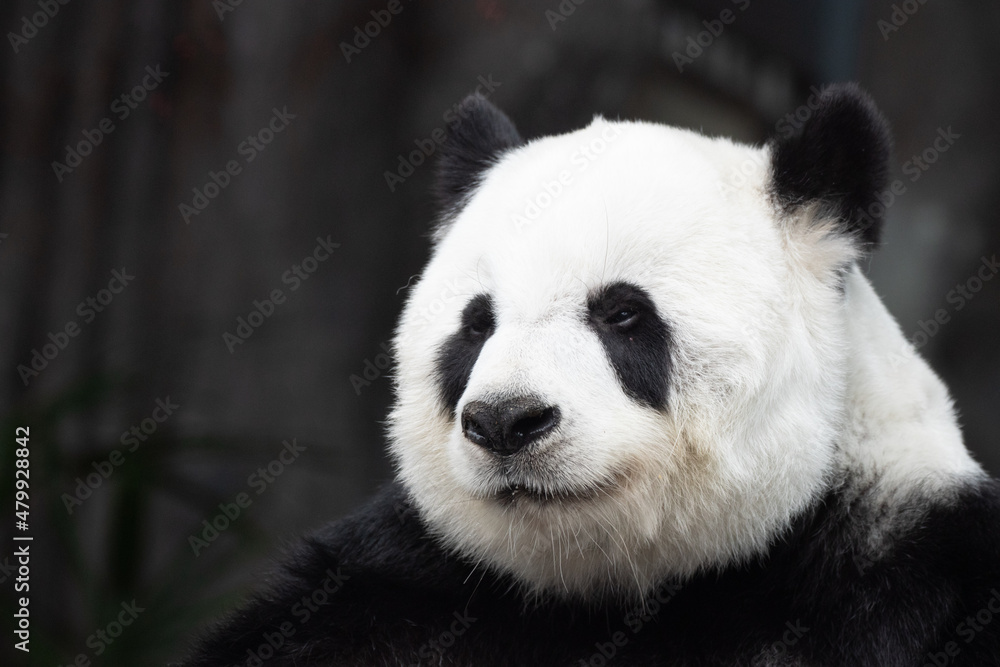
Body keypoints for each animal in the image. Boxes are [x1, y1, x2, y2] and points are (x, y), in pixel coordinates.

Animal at [179, 83, 1000, 666]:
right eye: (476, 325)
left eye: (623, 314)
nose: (506, 421)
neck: (607, 587)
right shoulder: (402, 588)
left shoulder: (890, 573)